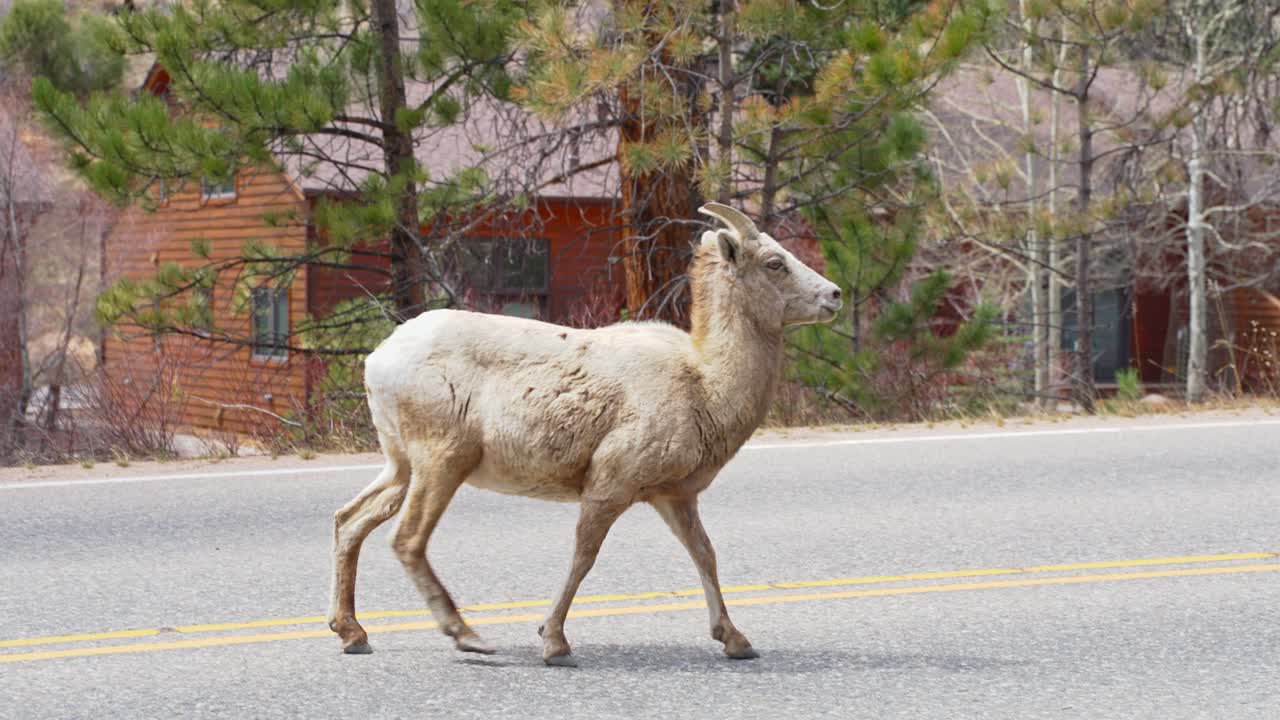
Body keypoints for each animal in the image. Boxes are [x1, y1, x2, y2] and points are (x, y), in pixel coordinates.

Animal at [328, 202, 842, 666]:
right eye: (775, 262)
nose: (835, 295)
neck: (705, 384)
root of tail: (378, 360)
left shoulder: (673, 496)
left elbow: (705, 554)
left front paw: (736, 641)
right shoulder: (610, 484)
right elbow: (585, 556)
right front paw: (554, 643)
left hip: (401, 465)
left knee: (349, 520)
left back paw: (353, 633)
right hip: (443, 461)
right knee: (407, 539)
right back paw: (468, 637)